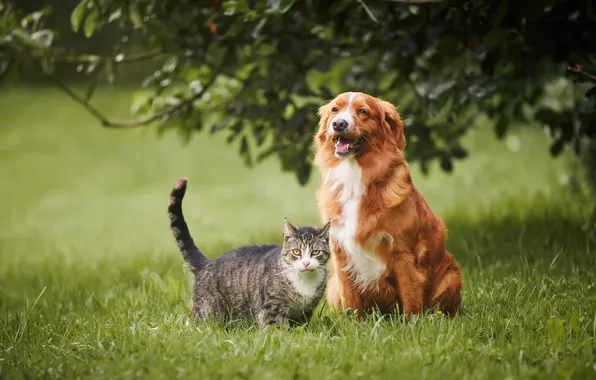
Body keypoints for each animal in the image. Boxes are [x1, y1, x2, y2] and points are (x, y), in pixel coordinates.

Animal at [168, 177, 330, 328]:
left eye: (315, 252)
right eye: (296, 251)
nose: (306, 263)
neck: (305, 283)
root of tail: (207, 262)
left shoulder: (305, 311)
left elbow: (301, 326)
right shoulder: (271, 308)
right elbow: (277, 328)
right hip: (206, 312)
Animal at [314, 90, 464, 316]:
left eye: (363, 111)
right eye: (334, 109)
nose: (339, 124)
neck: (355, 177)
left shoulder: (402, 252)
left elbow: (410, 296)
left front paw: (413, 323)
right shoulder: (340, 251)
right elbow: (351, 301)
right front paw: (353, 322)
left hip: (450, 276)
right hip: (332, 286)